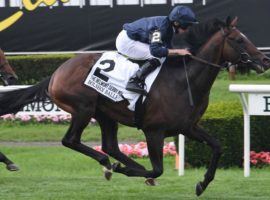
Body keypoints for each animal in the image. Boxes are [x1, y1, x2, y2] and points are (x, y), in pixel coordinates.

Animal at [0, 17, 270, 195]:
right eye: (238, 40)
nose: (264, 59)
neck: (185, 81)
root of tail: (56, 73)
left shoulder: (188, 127)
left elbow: (217, 146)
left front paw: (202, 184)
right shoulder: (154, 131)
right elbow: (158, 169)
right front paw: (128, 171)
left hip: (105, 113)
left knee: (110, 145)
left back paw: (121, 164)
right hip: (83, 108)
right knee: (72, 141)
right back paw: (110, 165)